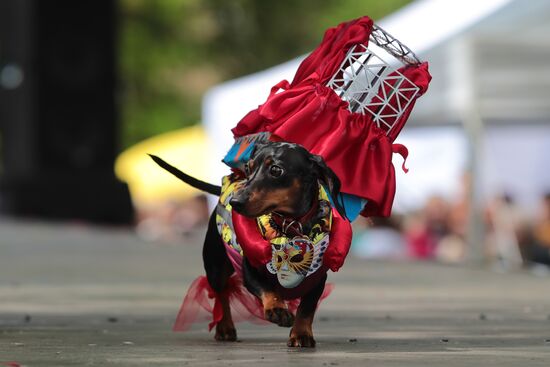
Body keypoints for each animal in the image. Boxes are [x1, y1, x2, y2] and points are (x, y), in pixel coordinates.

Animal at [151, 141, 348, 348]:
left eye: (276, 170)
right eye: (248, 168)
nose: (235, 202)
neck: (290, 225)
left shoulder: (318, 279)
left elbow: (307, 307)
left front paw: (301, 334)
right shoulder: (250, 270)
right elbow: (267, 288)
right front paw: (277, 309)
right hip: (215, 267)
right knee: (221, 294)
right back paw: (224, 327)